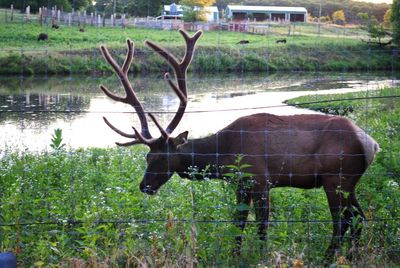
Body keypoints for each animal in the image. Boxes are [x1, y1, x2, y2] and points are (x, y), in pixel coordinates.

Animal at [99, 28, 378, 260]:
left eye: (163, 157)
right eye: (147, 157)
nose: (144, 185)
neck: (225, 154)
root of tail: (372, 144)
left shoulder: (260, 179)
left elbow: (262, 227)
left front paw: (262, 257)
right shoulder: (240, 184)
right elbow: (238, 223)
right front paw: (235, 255)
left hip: (336, 178)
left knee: (342, 222)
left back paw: (328, 258)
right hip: (349, 182)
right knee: (359, 218)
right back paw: (350, 257)